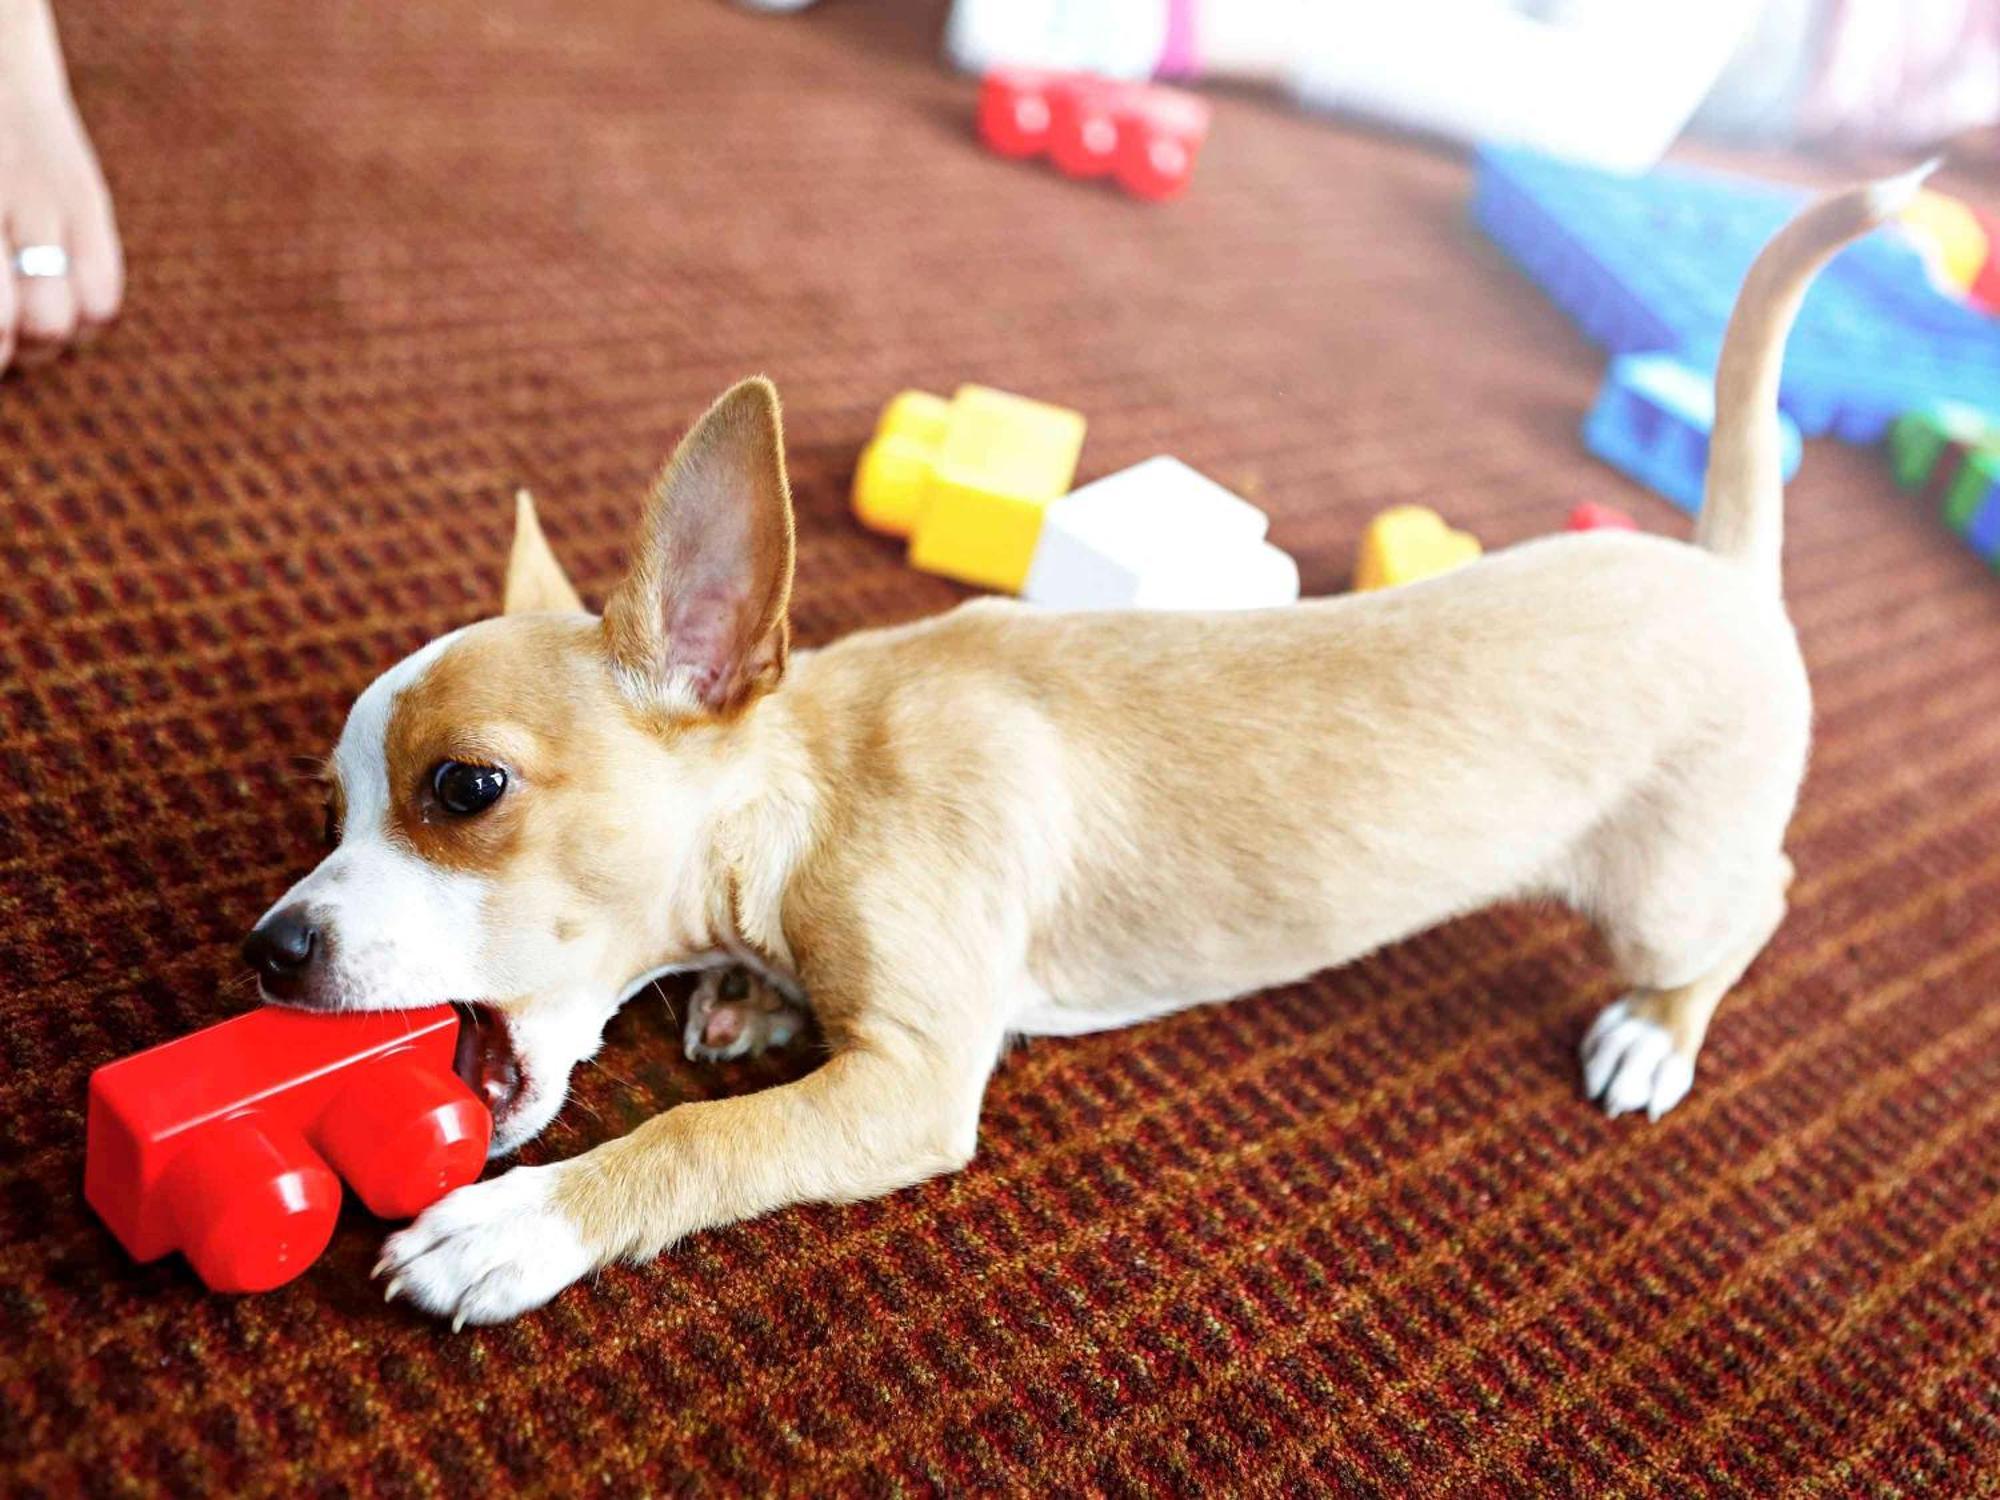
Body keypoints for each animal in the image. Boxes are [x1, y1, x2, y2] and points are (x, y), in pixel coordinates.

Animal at [242, 173, 1912, 1328]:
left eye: (466, 790)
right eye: (334, 803)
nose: (265, 950)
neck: (822, 788)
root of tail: (1726, 570)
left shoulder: (912, 1087)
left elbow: (701, 1140)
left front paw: (523, 1225)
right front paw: (746, 997)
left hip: (1664, 890)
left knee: (1752, 905)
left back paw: (1657, 1032)